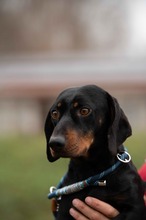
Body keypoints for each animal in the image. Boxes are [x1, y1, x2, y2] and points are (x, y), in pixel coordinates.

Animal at [44, 84, 146, 220]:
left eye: (84, 111)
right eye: (54, 113)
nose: (54, 143)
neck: (91, 170)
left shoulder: (134, 208)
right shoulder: (65, 210)